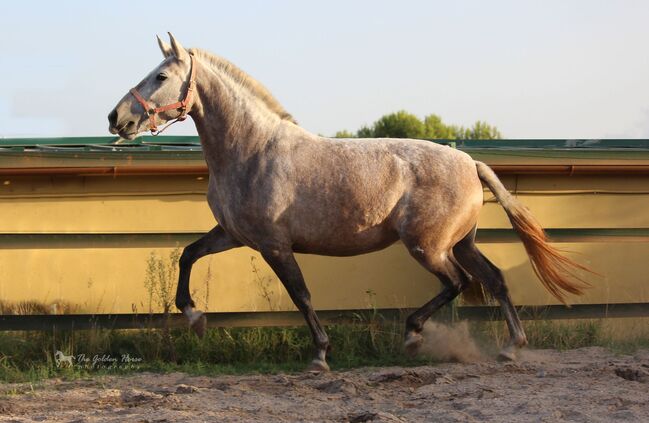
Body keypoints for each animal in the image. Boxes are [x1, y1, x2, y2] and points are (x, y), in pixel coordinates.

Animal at [109, 34, 588, 372]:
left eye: (161, 77)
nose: (117, 118)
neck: (253, 149)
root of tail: (471, 163)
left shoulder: (274, 245)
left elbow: (301, 295)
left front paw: (320, 355)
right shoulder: (234, 234)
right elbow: (188, 255)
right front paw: (195, 317)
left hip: (428, 247)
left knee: (458, 282)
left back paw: (414, 335)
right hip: (461, 243)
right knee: (494, 280)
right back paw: (510, 348)